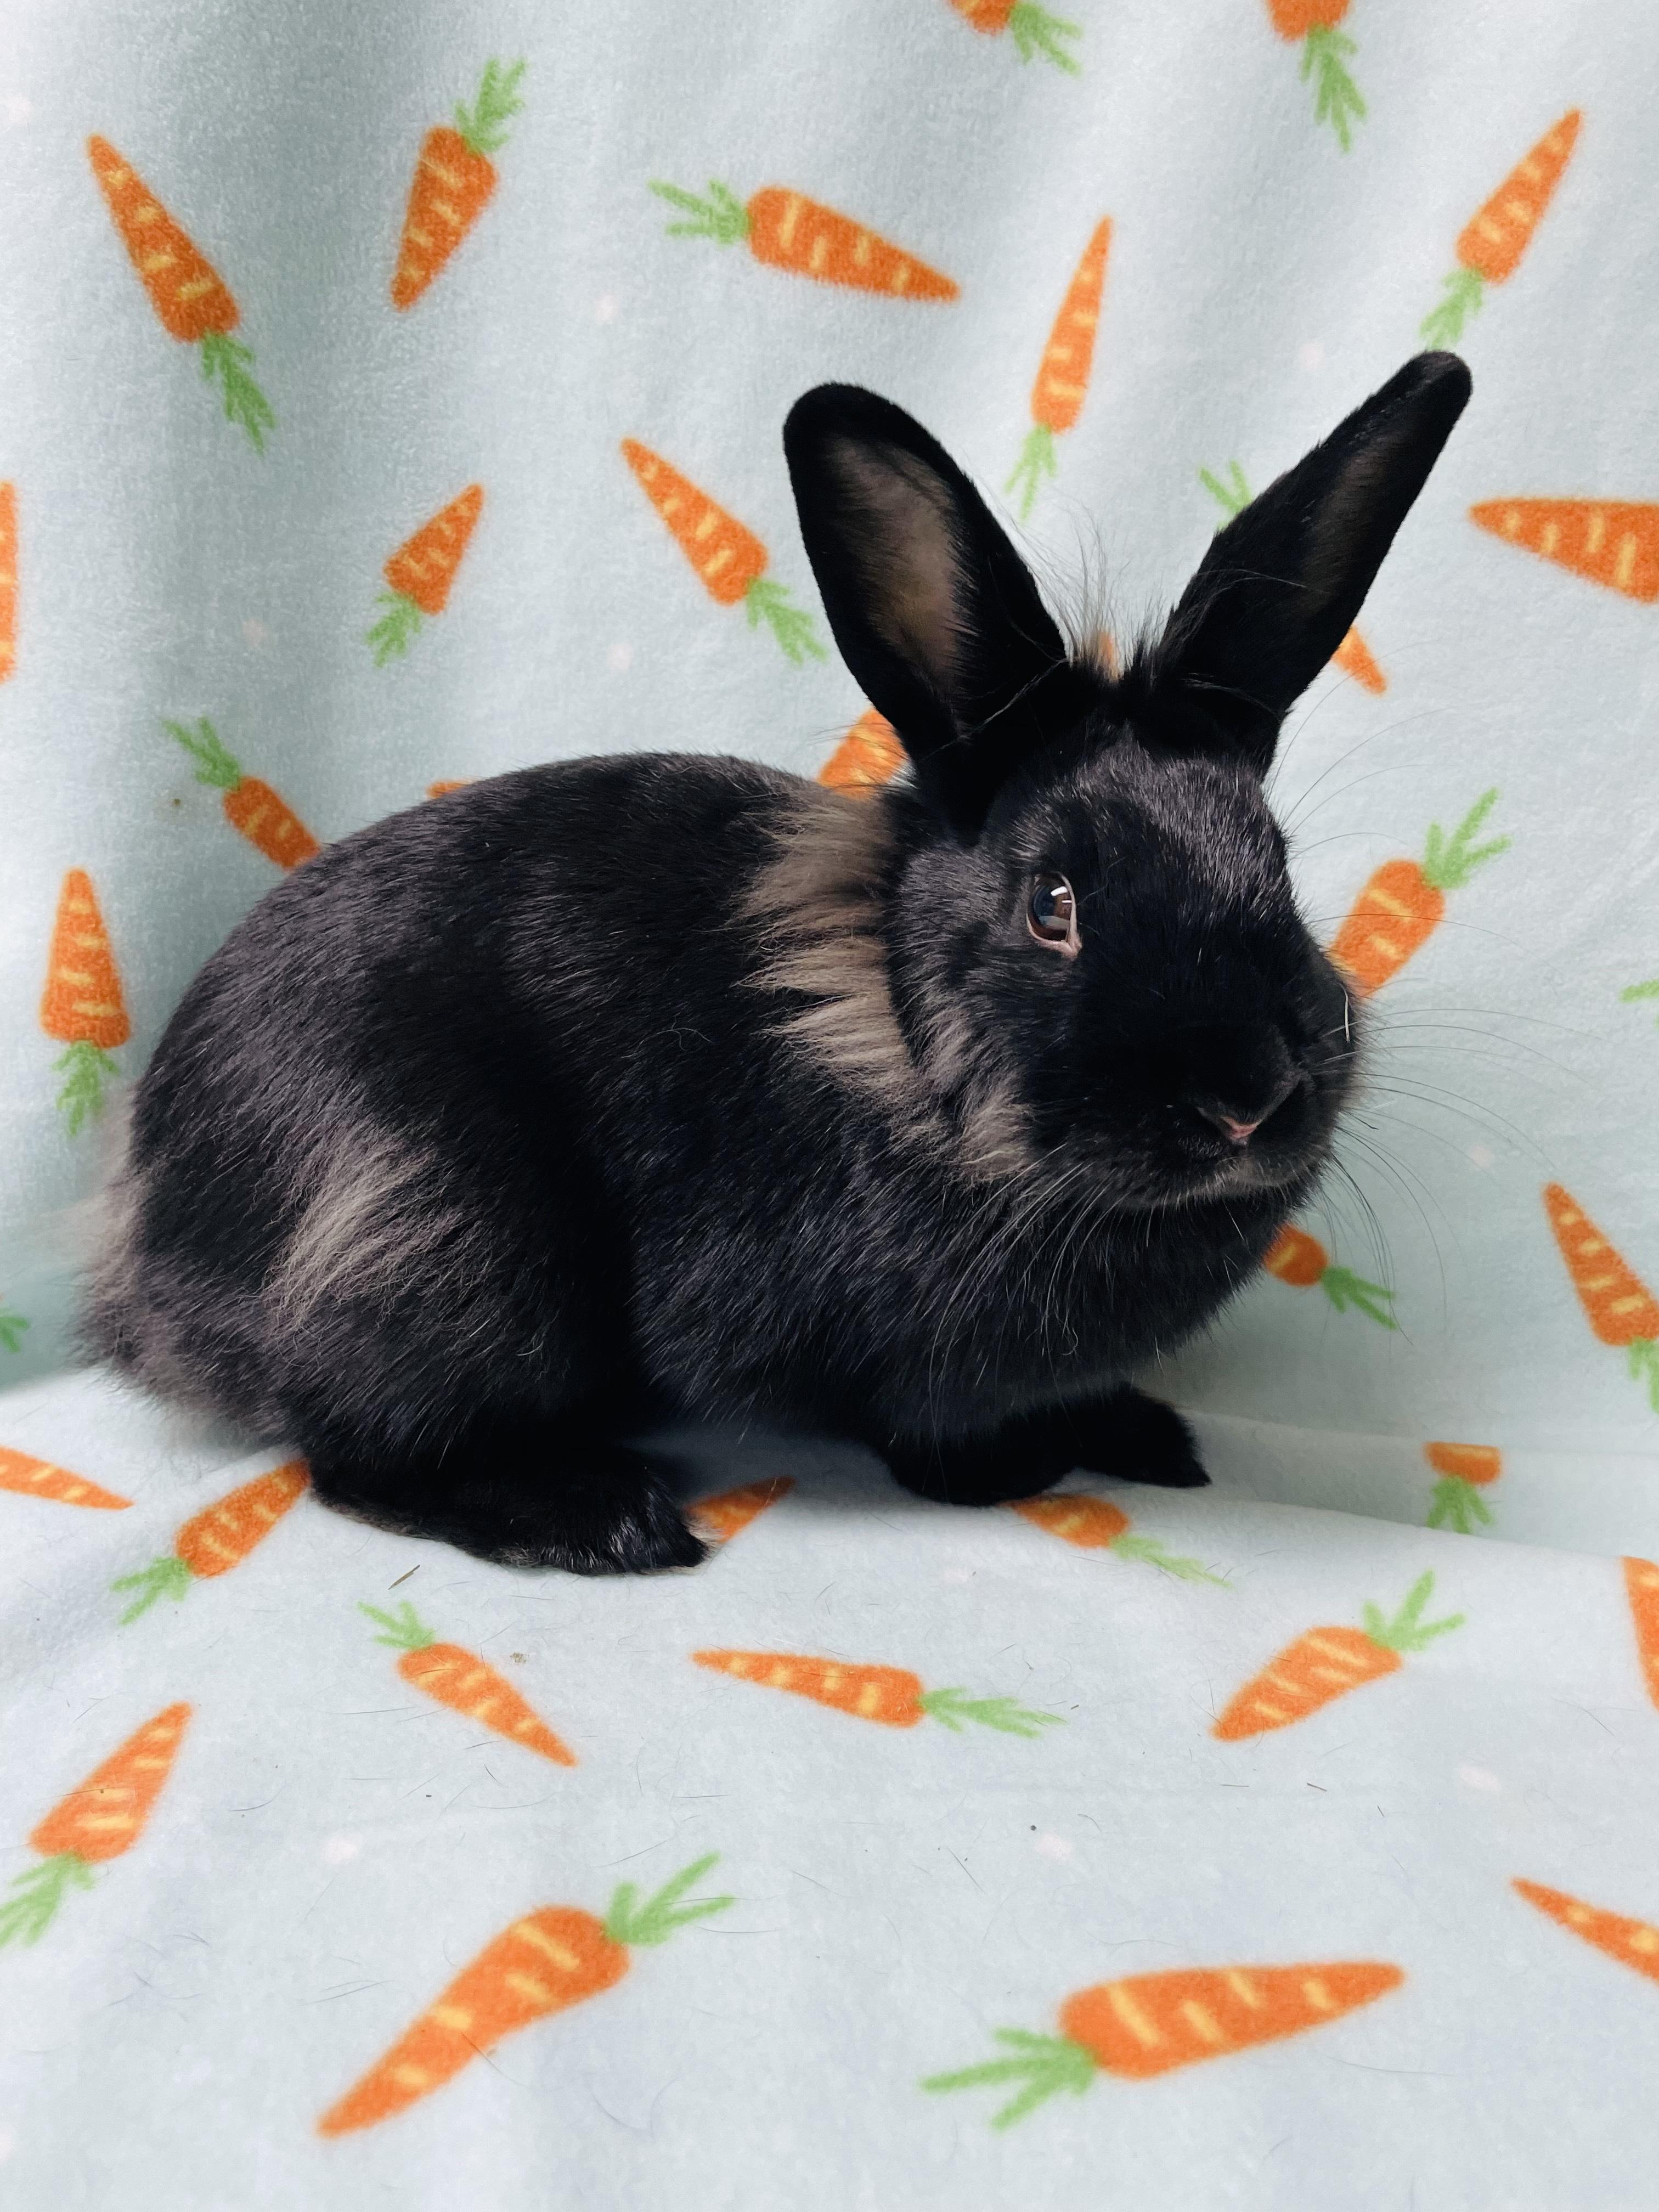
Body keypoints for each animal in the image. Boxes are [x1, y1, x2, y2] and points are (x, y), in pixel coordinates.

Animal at [82, 351, 1471, 1574]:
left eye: (1276, 863)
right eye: (1053, 904)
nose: (1248, 1101)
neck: (898, 1040)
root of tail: (145, 1242)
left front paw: (1144, 1434)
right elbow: (929, 1426)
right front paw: (1011, 1472)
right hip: (447, 1241)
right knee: (355, 1454)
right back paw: (603, 1522)